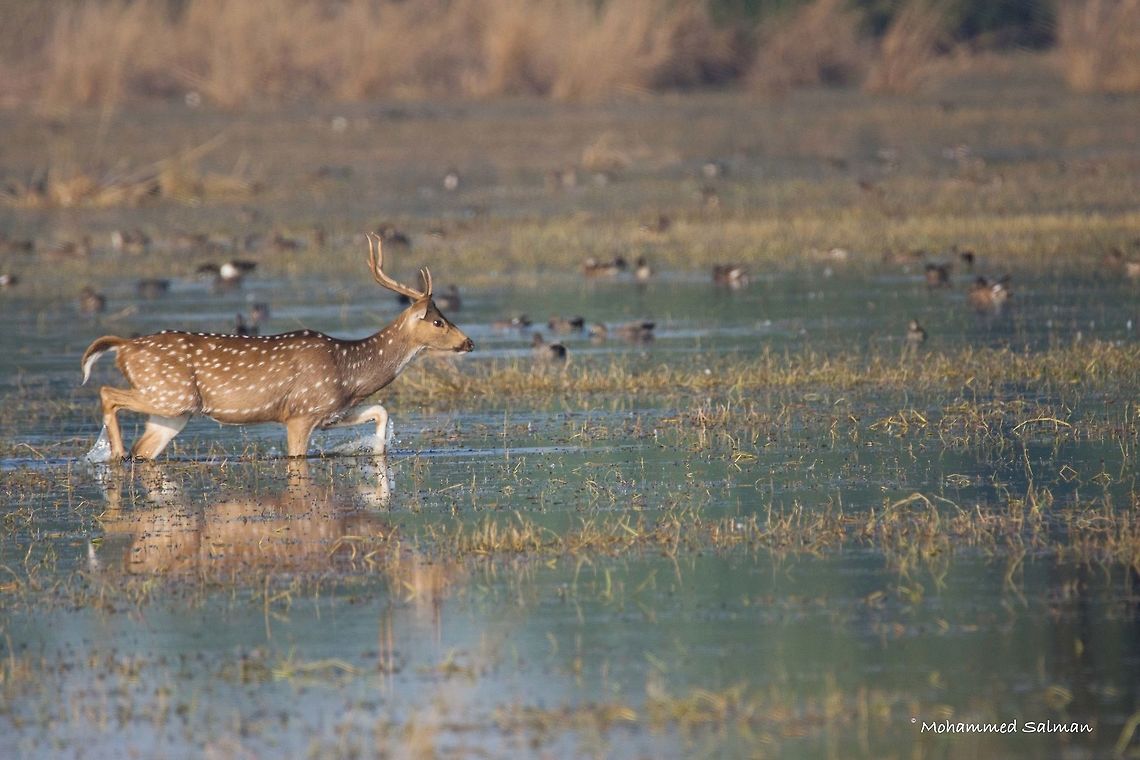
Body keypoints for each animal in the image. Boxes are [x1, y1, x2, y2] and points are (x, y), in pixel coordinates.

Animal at [81, 233, 474, 461]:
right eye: (438, 321)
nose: (468, 342)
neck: (349, 371)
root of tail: (123, 346)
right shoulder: (300, 412)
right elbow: (297, 459)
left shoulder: (329, 412)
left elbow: (381, 411)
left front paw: (376, 449)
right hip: (169, 393)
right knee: (106, 392)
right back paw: (112, 453)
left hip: (173, 412)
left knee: (144, 450)